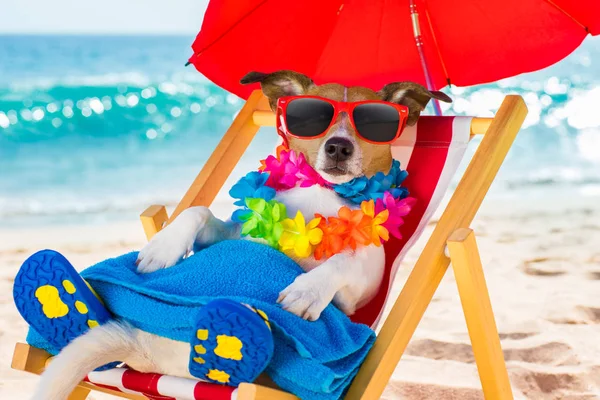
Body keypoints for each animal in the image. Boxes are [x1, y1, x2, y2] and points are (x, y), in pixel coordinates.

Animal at [29, 72, 450, 400]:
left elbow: (344, 260)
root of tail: (143, 350)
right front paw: (162, 249)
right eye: (312, 116)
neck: (321, 195)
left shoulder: (359, 292)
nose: (338, 147)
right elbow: (198, 213)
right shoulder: (235, 232)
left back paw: (232, 331)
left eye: (373, 123)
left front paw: (306, 291)